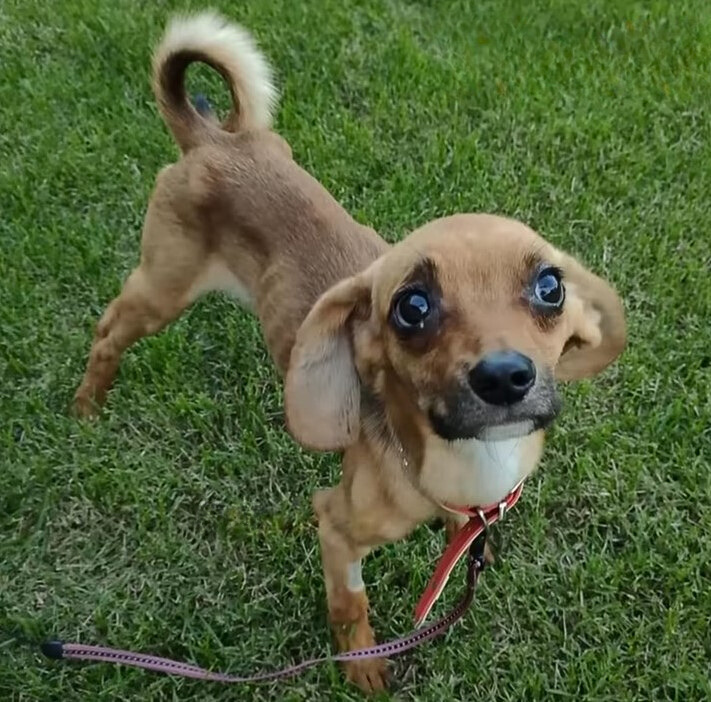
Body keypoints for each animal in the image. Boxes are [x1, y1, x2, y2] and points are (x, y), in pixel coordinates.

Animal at [75, 13, 624, 696]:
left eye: (551, 287)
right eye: (411, 307)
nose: (504, 376)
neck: (467, 461)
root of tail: (210, 140)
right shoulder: (335, 526)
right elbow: (349, 603)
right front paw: (362, 666)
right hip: (162, 289)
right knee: (108, 332)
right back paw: (86, 405)